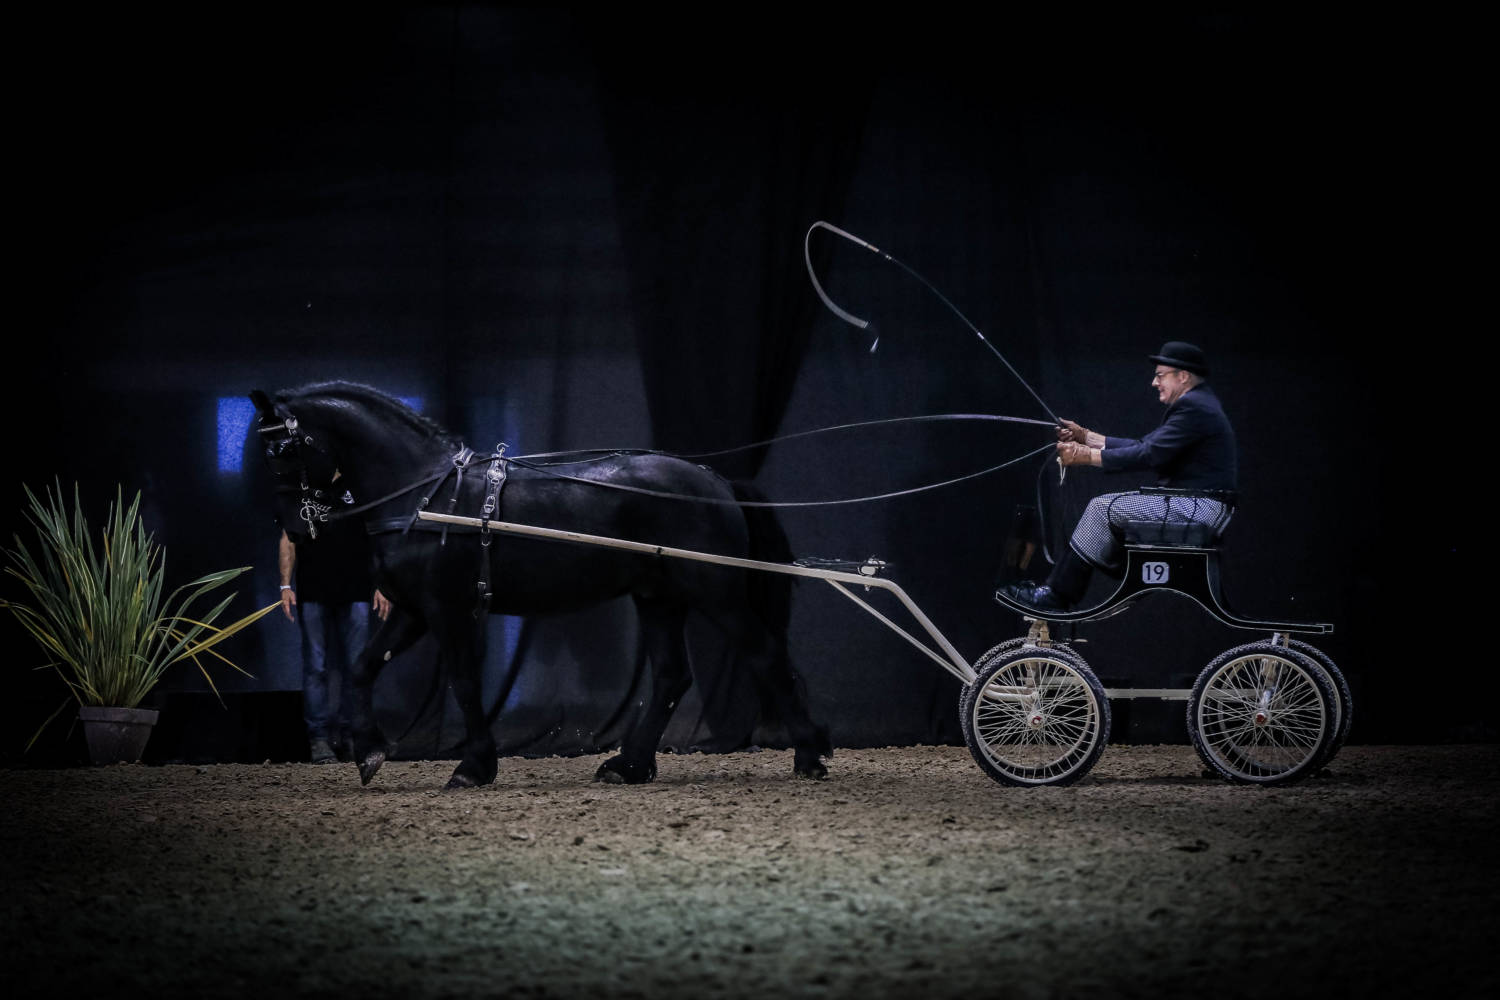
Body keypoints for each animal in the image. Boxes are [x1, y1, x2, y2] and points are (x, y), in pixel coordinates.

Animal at [249, 382, 831, 790]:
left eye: (283, 450)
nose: (293, 528)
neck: (424, 494)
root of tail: (715, 480)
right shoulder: (414, 610)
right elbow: (364, 668)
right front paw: (370, 752)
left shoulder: (447, 609)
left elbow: (463, 681)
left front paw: (473, 766)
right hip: (658, 597)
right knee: (671, 675)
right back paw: (629, 765)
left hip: (716, 591)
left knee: (763, 653)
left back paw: (809, 755)